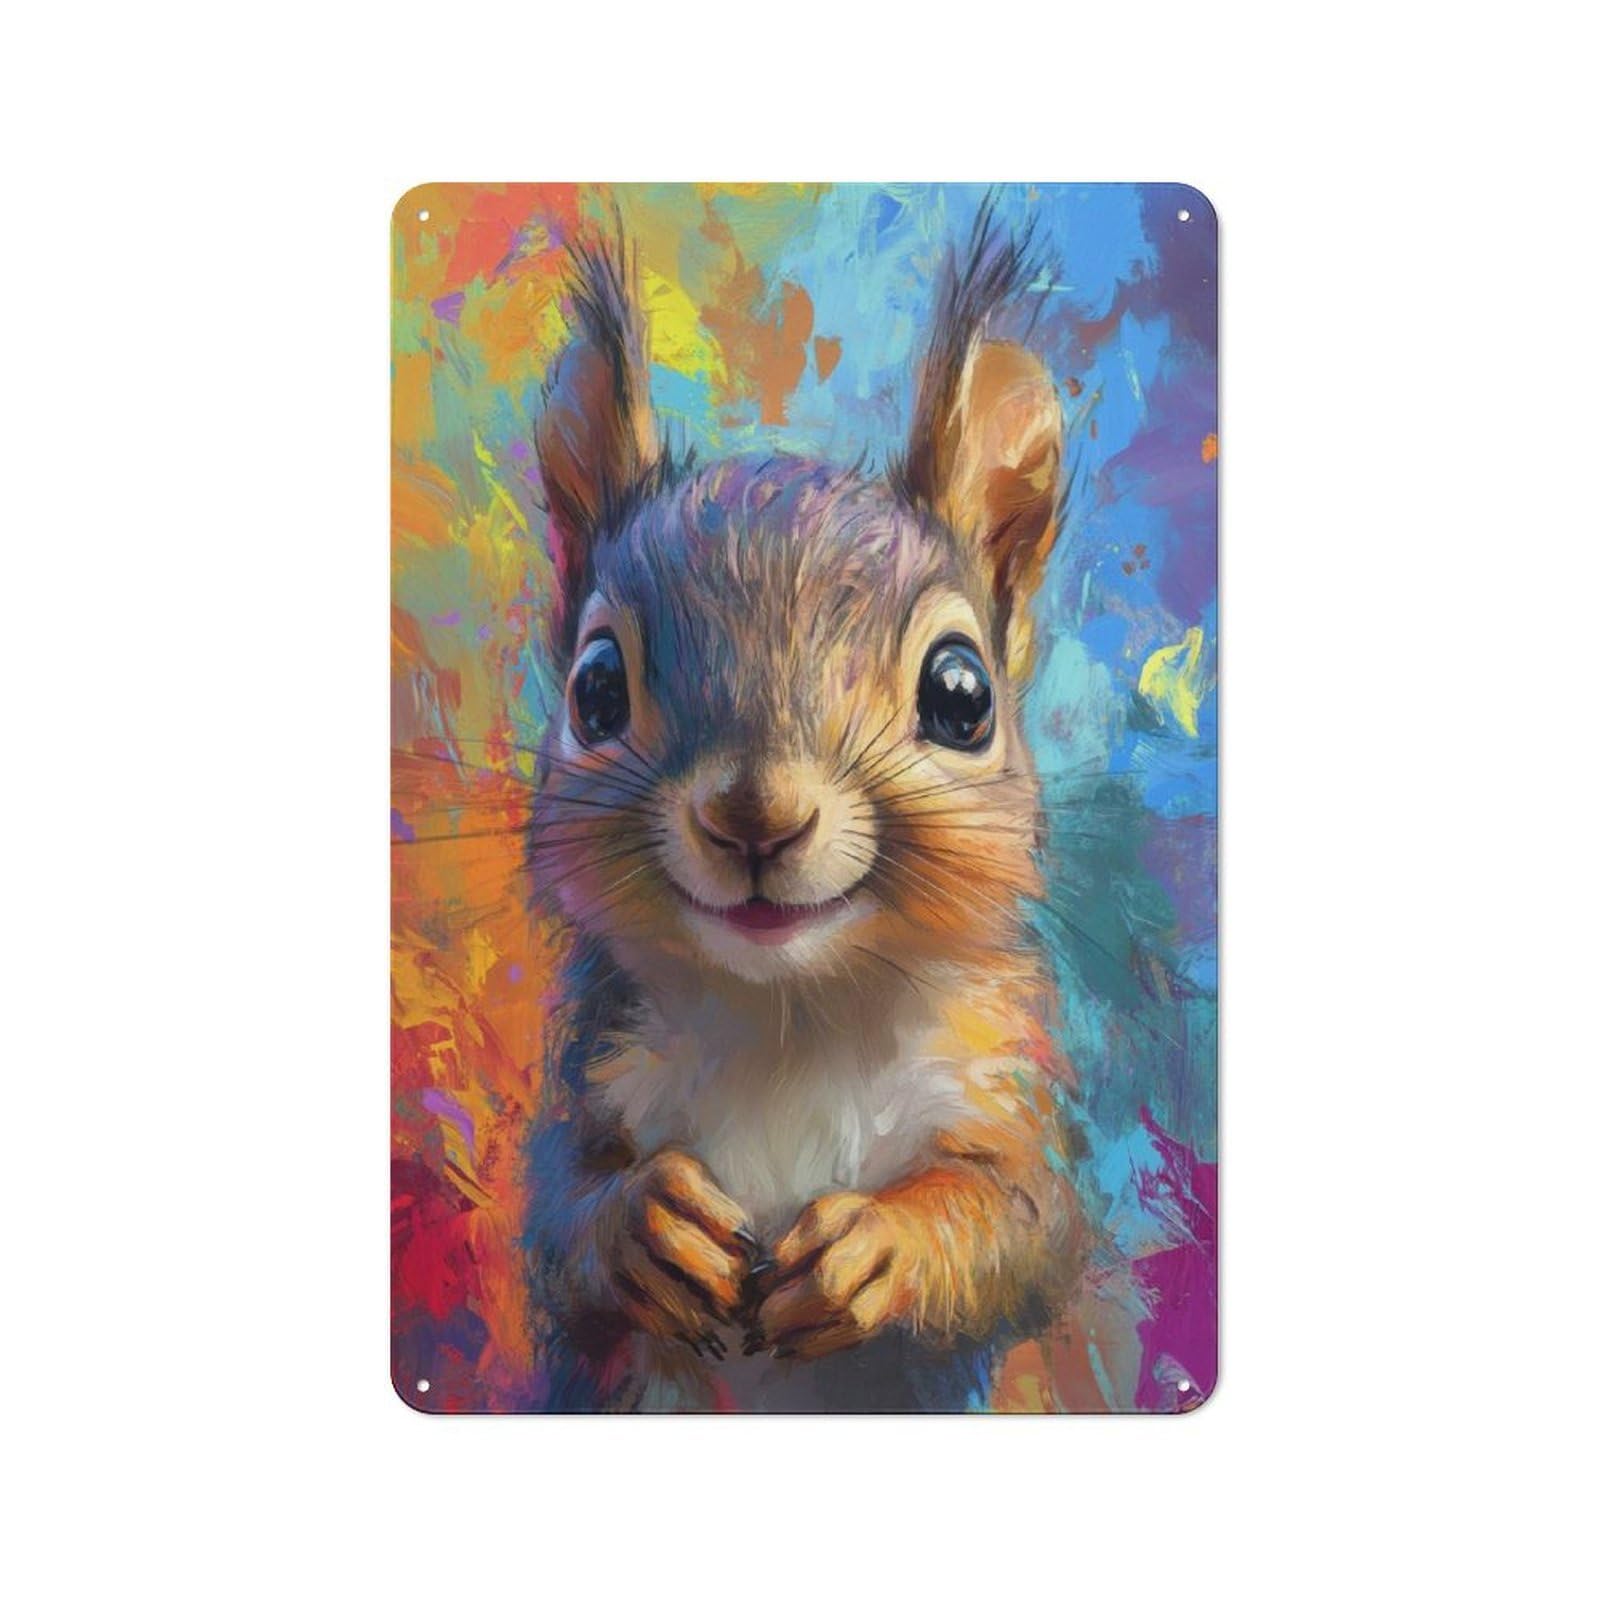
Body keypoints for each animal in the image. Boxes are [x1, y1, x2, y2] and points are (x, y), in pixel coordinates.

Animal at [523, 211, 1086, 1412]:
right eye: (595, 688)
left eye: (961, 695)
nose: (756, 818)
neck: (791, 1014)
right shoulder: (594, 1072)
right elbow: (556, 1220)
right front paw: (643, 1224)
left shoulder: (1002, 1091)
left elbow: (1021, 1228)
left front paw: (881, 1244)